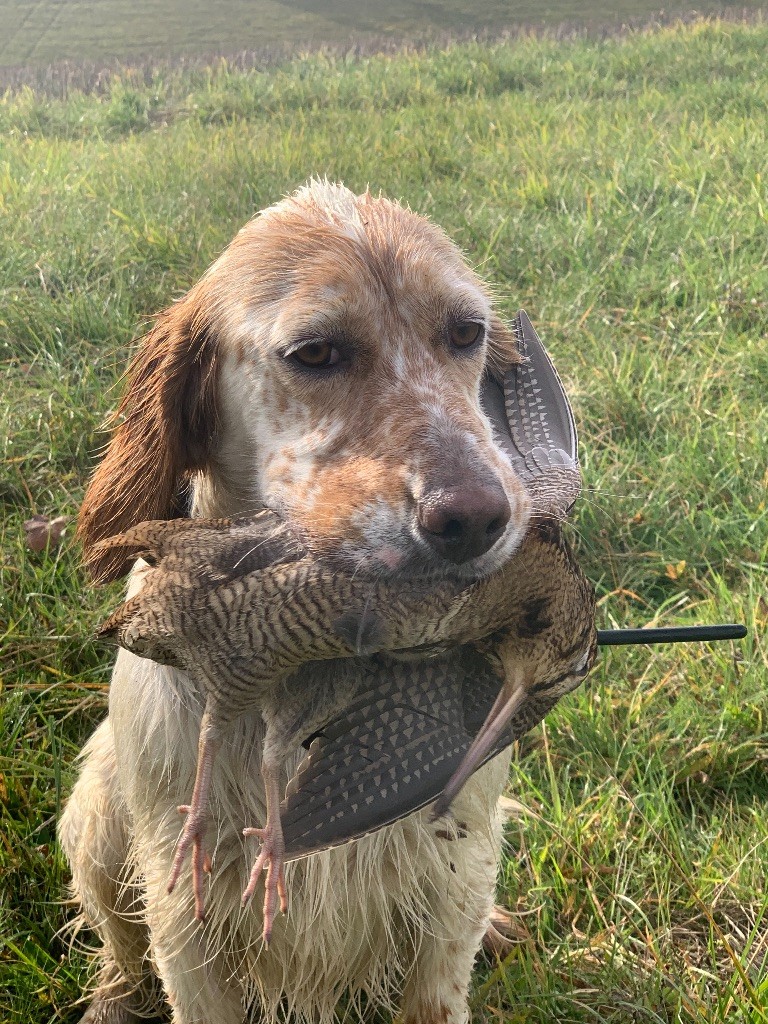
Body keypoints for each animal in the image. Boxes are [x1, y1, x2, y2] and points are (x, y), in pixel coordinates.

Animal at [60, 182, 532, 1024]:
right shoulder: (188, 915)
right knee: (117, 945)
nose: (478, 519)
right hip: (96, 823)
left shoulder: (452, 881)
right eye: (315, 353)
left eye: (466, 332)